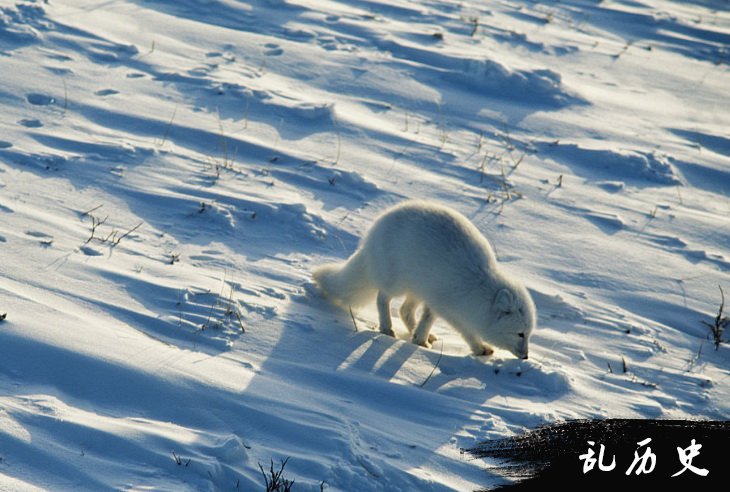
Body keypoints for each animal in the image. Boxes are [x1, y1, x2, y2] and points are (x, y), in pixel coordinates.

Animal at [312, 199, 536, 358]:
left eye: (528, 334)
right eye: (520, 333)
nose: (526, 356)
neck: (478, 288)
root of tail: (373, 233)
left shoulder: (434, 301)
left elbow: (425, 319)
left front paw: (420, 339)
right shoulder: (448, 309)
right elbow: (466, 331)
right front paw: (480, 349)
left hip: (417, 289)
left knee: (405, 311)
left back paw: (419, 334)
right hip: (398, 283)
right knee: (383, 298)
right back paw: (387, 328)